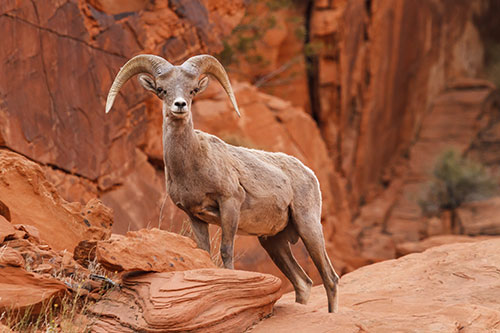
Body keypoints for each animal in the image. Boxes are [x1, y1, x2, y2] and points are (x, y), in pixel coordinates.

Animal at [105, 53, 340, 312]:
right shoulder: (195, 217)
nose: (180, 105)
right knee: (303, 282)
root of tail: (309, 173)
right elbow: (205, 253)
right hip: (273, 241)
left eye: (192, 90)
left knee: (329, 278)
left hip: (308, 226)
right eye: (161, 90)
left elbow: (226, 251)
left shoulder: (229, 204)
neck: (193, 164)